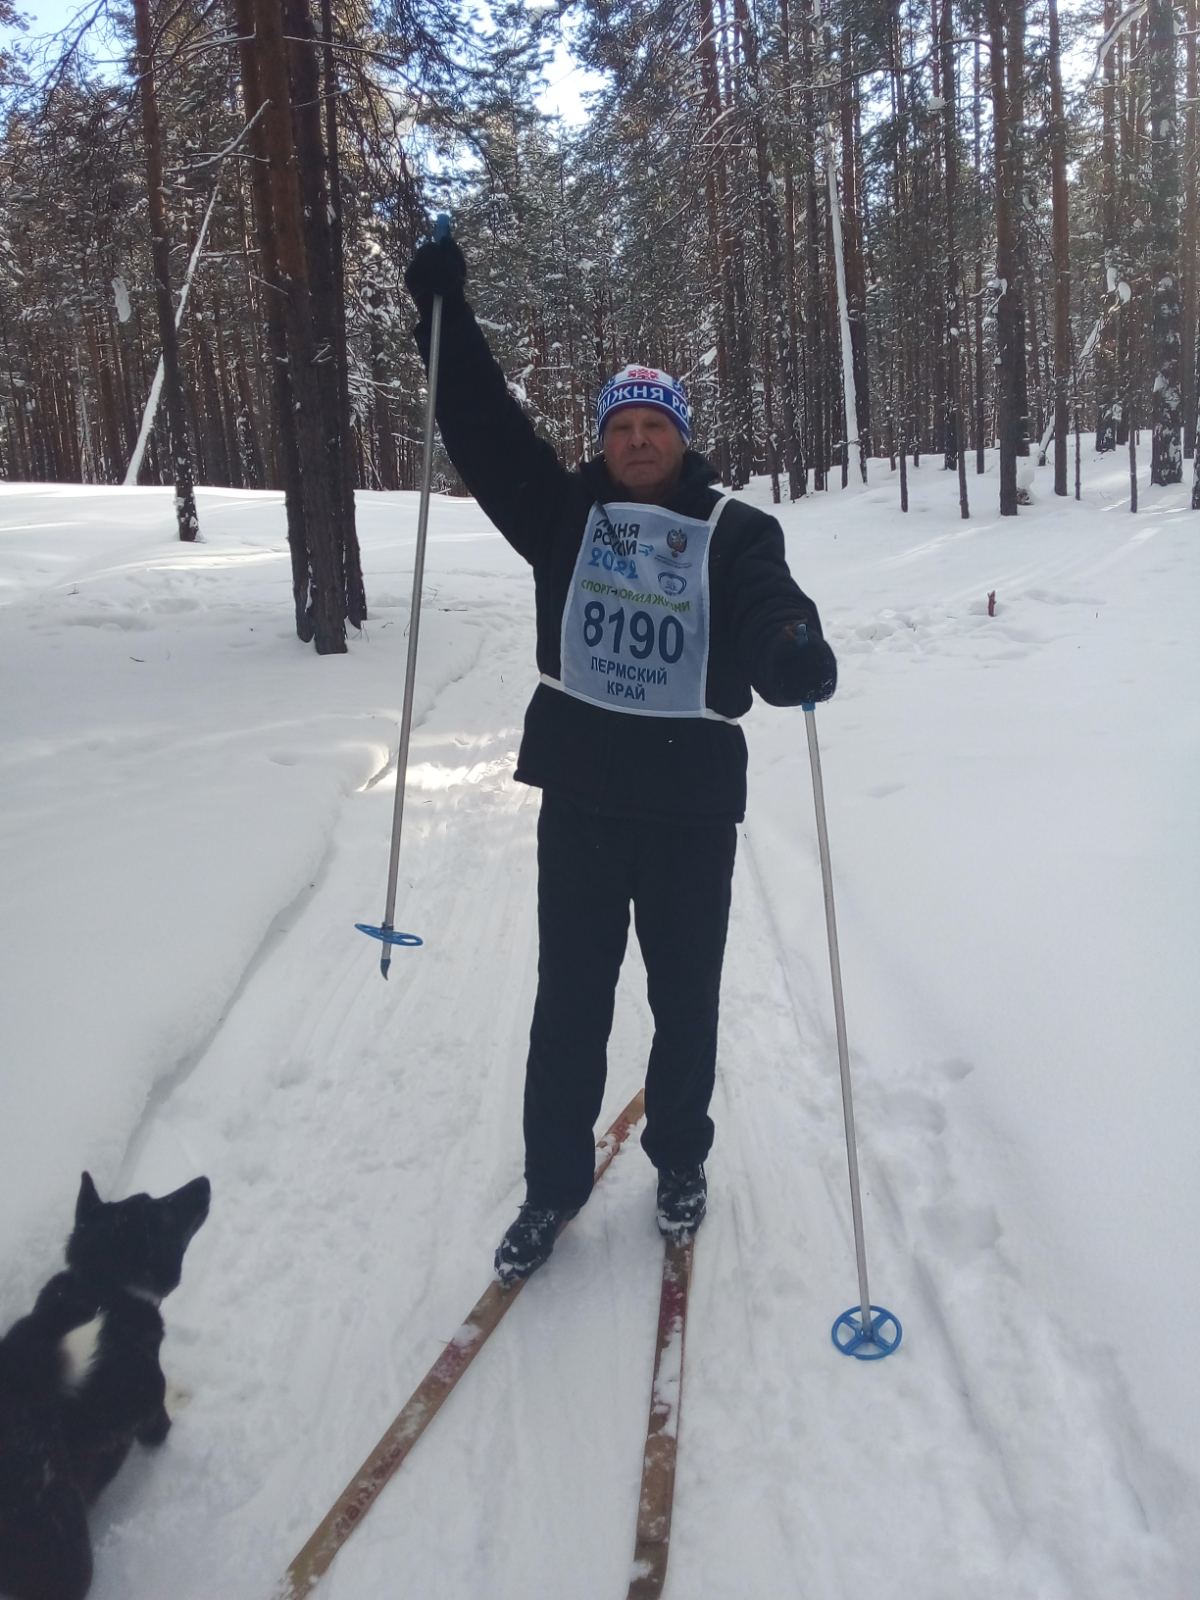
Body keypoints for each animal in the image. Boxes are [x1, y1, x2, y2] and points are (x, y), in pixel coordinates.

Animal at [0, 1171, 210, 1600]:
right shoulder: (150, 1415)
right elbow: (162, 1416)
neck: (104, 1288)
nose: (204, 1181)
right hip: (66, 1553)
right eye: (160, 1214)